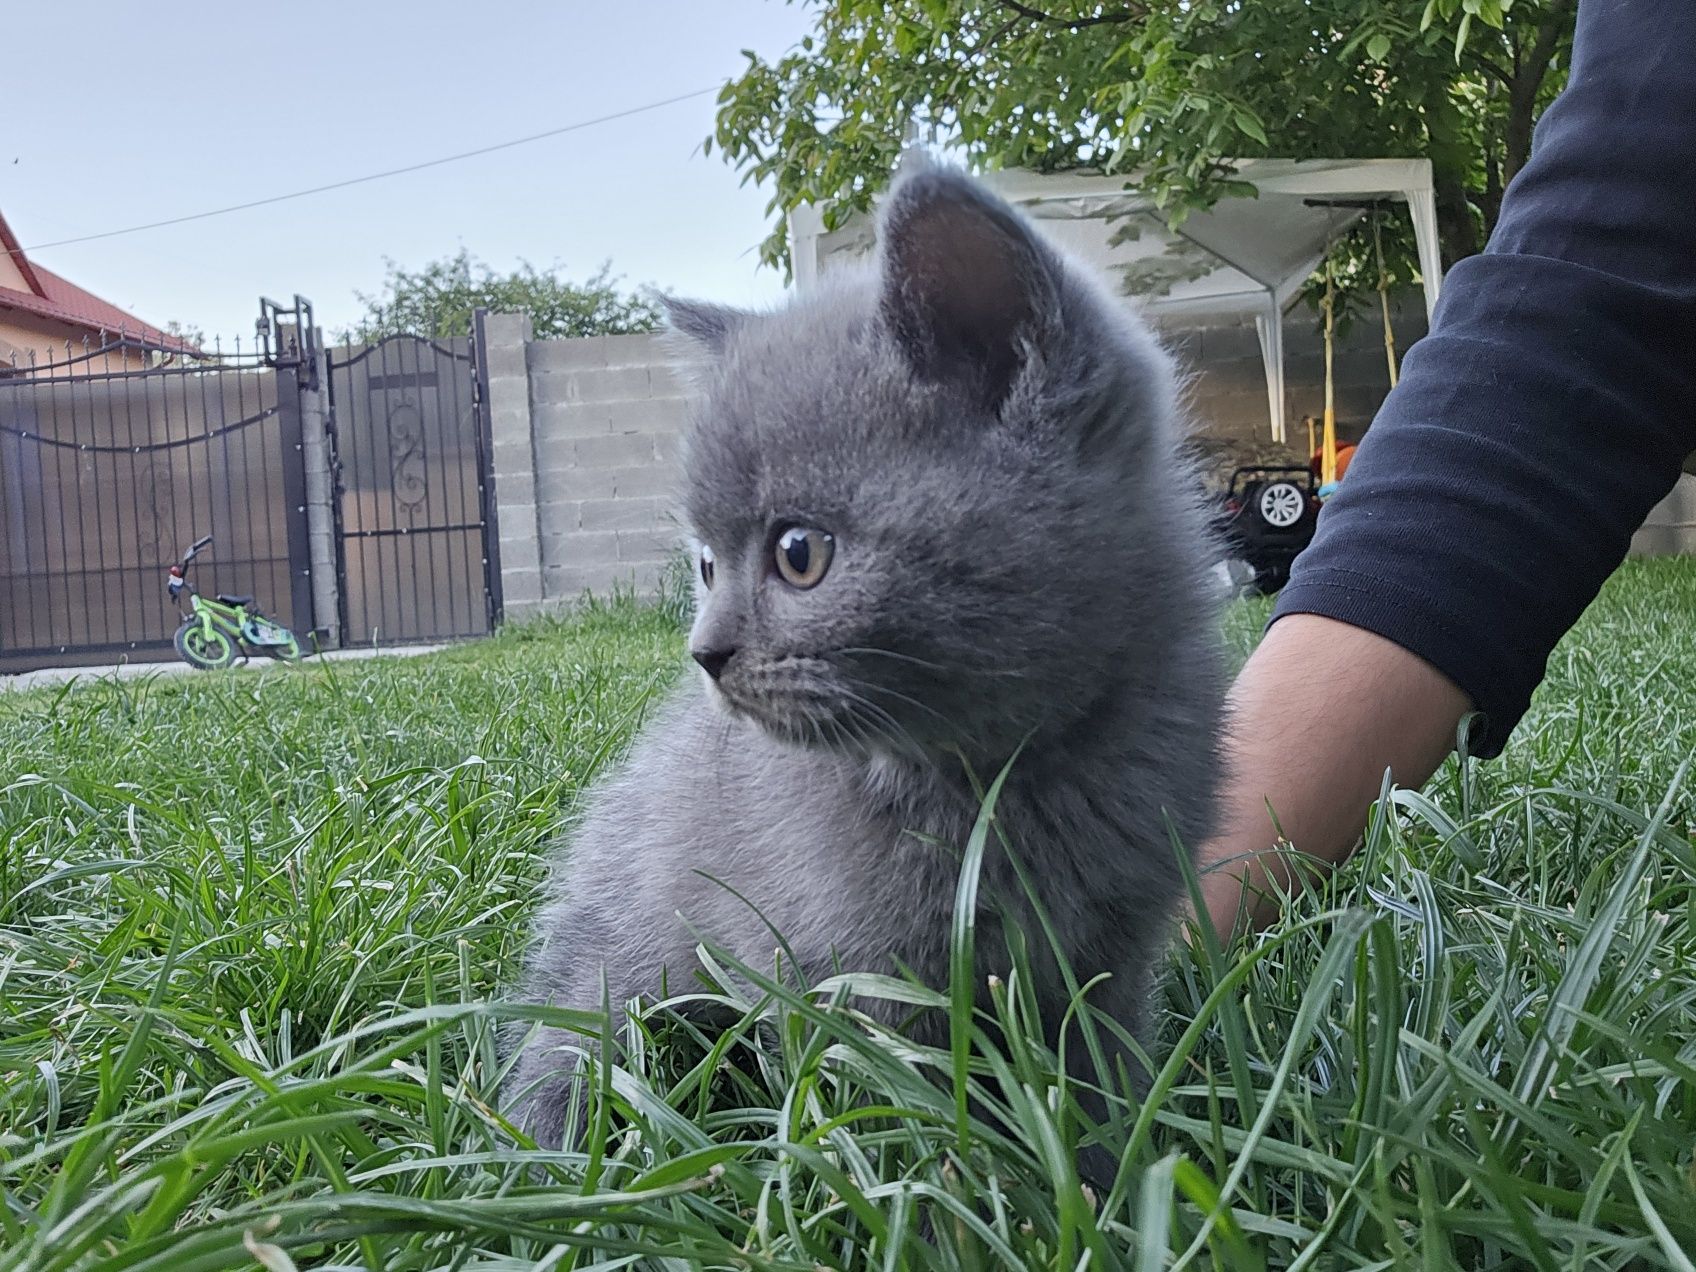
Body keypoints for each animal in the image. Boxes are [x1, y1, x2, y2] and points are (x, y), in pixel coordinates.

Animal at [502, 159, 1221, 1153]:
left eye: (799, 554)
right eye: (707, 565)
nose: (704, 652)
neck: (1008, 776)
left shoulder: (1114, 949)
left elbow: (1101, 1073)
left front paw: (1109, 1162)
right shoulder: (853, 970)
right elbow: (902, 1114)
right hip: (626, 954)